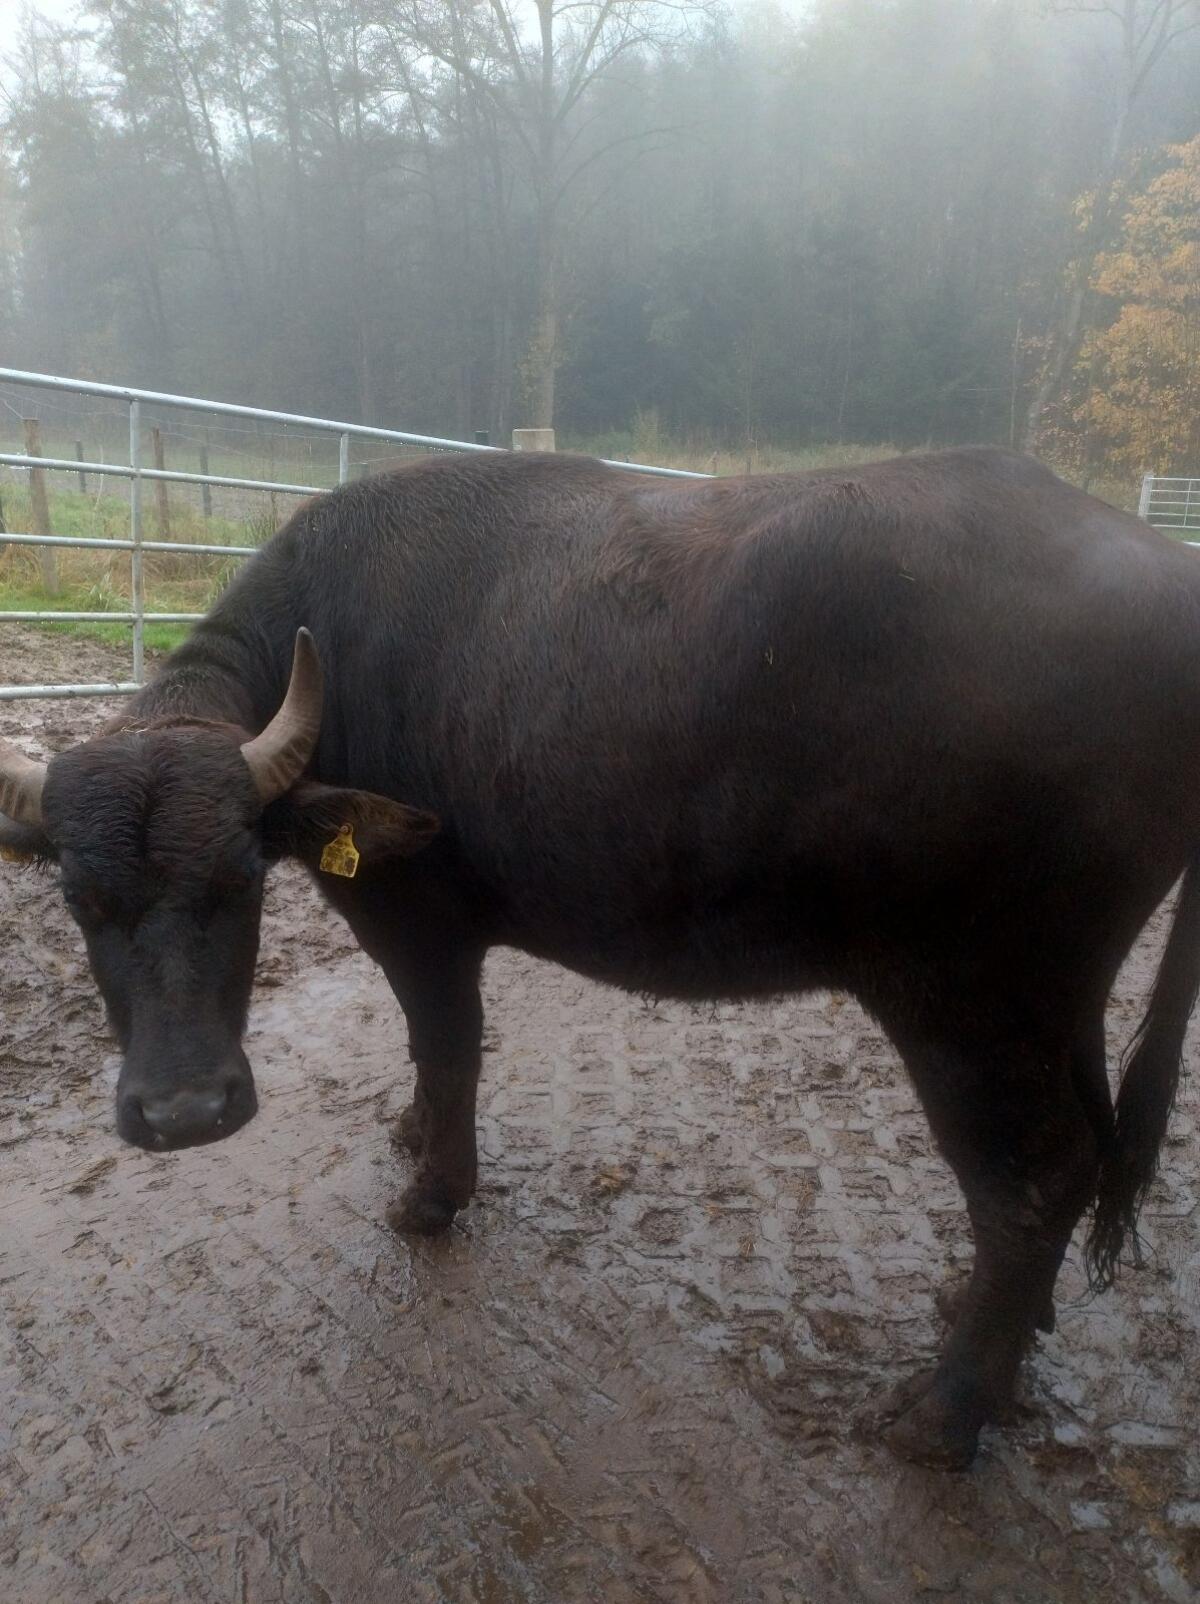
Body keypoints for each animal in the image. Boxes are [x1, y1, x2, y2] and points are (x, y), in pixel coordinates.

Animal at [2, 446, 1198, 1469]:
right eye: (76, 896)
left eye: (242, 878)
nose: (185, 1112)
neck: (335, 646)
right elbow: (429, 1061)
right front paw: (409, 1134)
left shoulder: (420, 920)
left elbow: (449, 1048)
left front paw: (433, 1194)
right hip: (1061, 995)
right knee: (1086, 1146)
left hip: (968, 998)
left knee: (1034, 1179)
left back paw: (944, 1412)